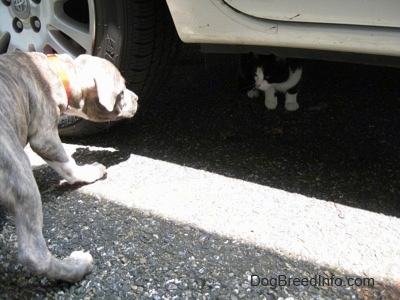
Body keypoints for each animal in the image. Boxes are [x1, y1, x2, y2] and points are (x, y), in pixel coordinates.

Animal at [0, 50, 138, 282]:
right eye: (121, 91)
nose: (137, 98)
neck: (59, 71)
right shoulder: (44, 135)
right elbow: (68, 165)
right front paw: (90, 171)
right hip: (17, 166)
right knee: (34, 255)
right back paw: (76, 267)